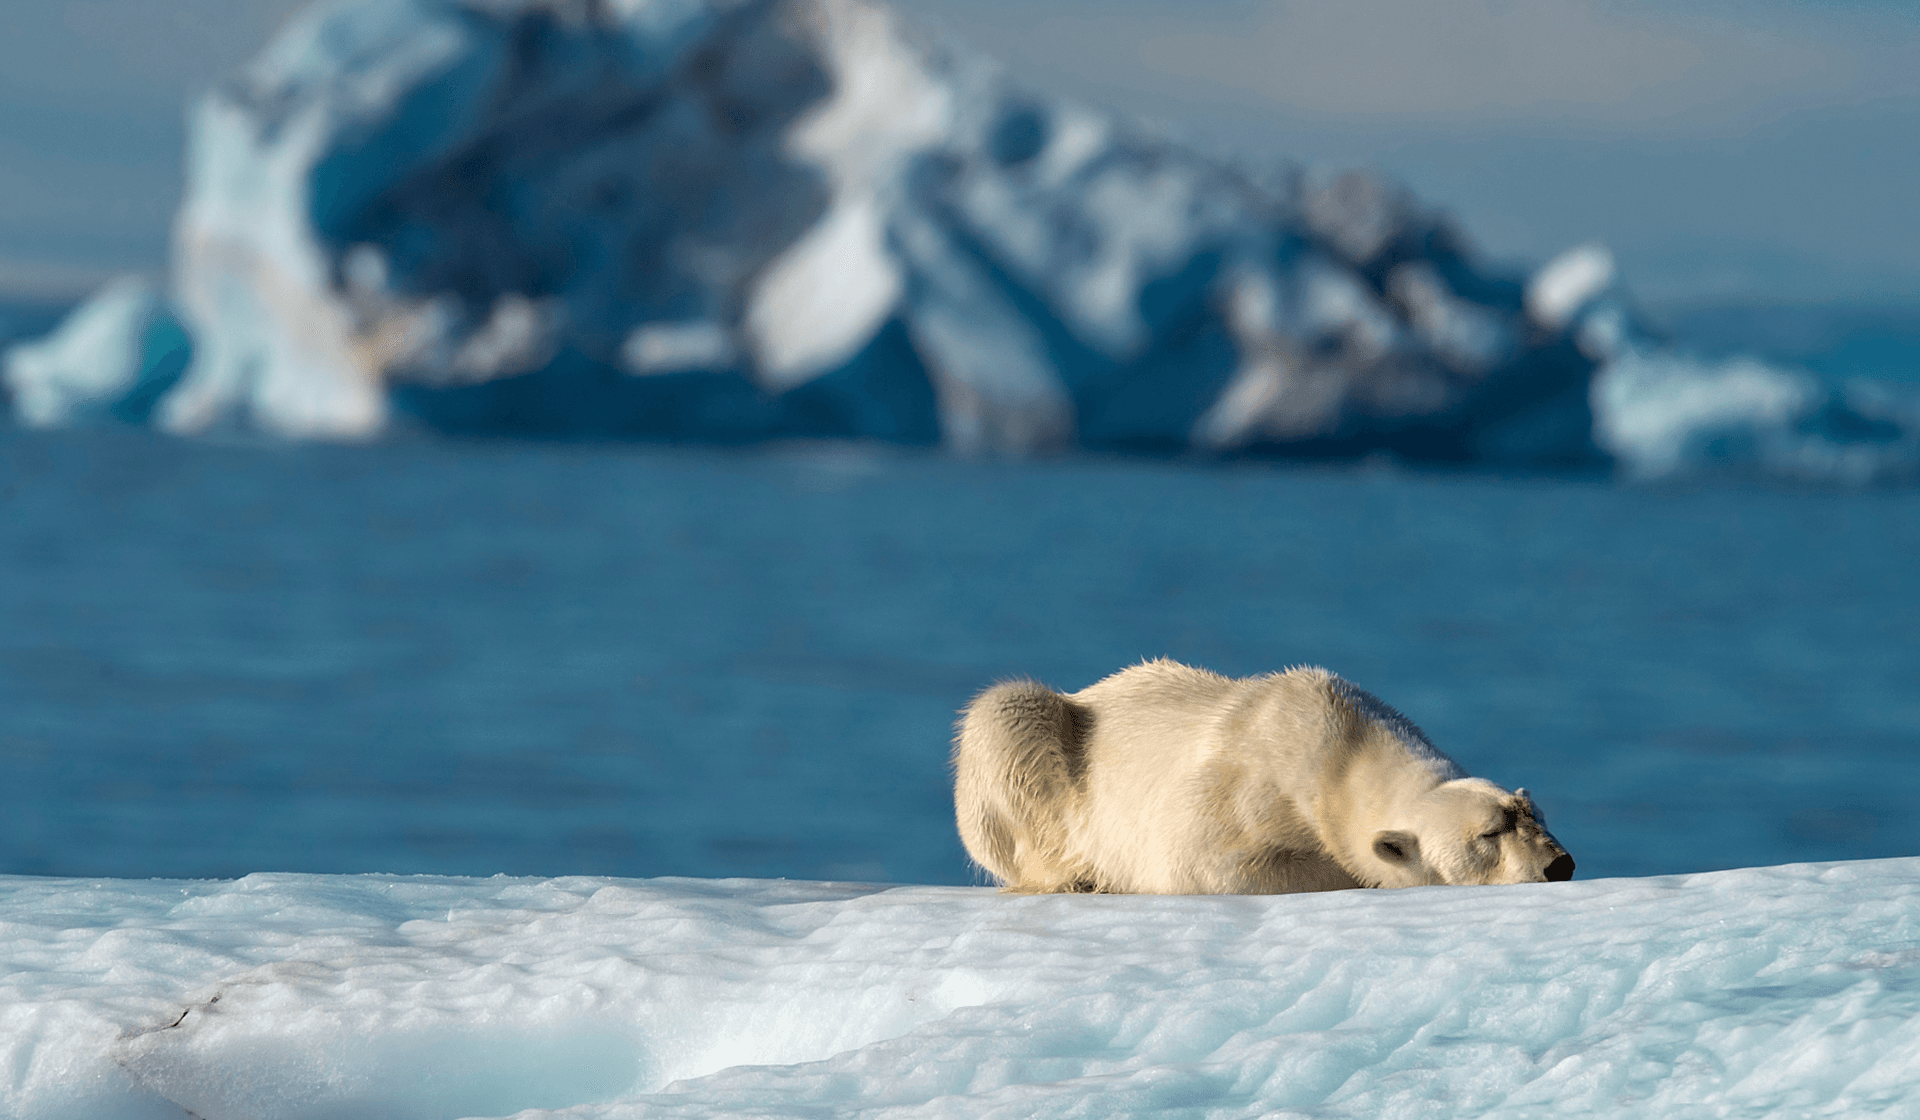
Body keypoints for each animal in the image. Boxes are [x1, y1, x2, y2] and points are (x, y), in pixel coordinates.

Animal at [952, 659, 1573, 894]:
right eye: (1489, 833)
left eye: (1536, 815)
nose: (1558, 864)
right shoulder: (1240, 788)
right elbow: (1205, 864)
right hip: (1043, 737)